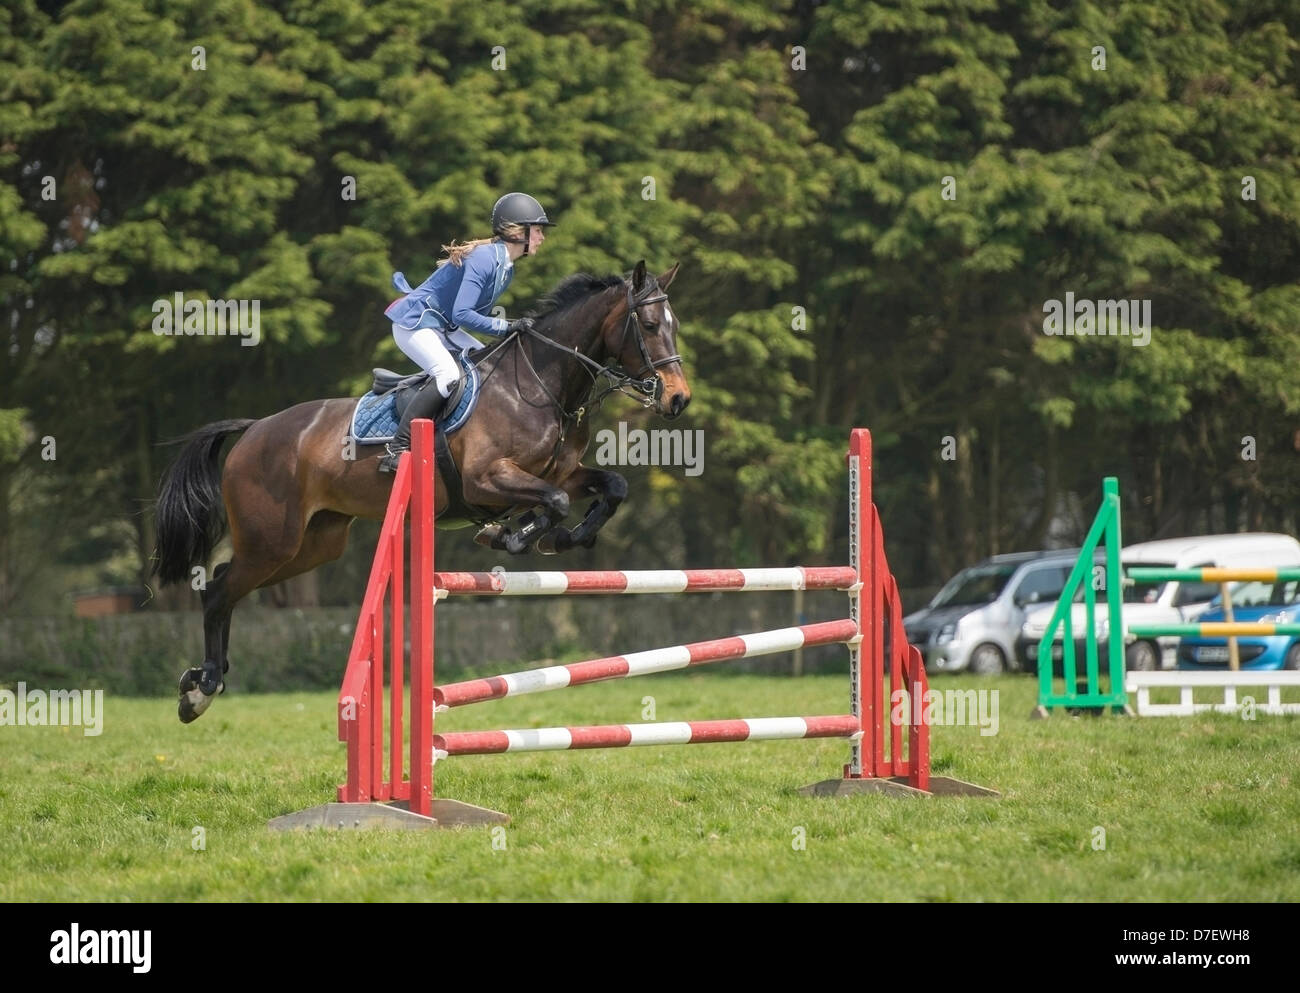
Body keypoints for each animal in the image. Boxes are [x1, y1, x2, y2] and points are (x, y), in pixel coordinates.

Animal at [152, 257, 686, 722]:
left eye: (673, 324)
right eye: (649, 325)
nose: (678, 399)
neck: (542, 384)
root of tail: (254, 428)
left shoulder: (560, 474)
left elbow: (611, 486)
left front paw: (562, 538)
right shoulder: (486, 478)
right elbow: (550, 504)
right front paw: (511, 536)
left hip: (312, 545)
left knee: (228, 587)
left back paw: (202, 683)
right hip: (272, 540)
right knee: (217, 592)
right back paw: (201, 690)